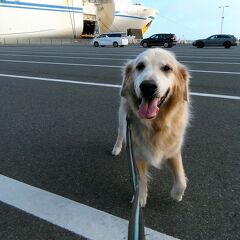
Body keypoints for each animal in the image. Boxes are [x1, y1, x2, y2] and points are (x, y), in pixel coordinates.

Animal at [111, 48, 190, 206]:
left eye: (167, 68)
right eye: (140, 66)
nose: (147, 86)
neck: (155, 124)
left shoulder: (173, 150)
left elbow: (181, 179)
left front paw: (177, 194)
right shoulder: (138, 152)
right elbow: (141, 178)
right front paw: (140, 198)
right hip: (123, 117)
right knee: (120, 132)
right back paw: (117, 147)